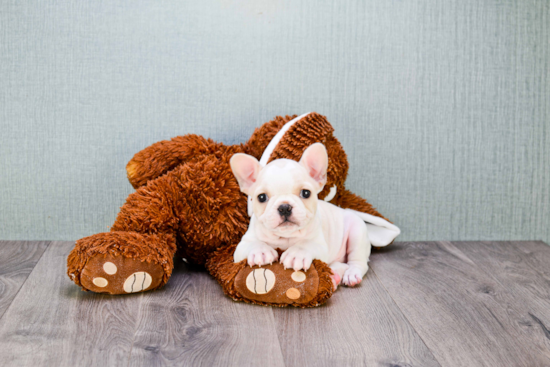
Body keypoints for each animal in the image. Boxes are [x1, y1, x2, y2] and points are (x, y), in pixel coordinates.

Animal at [231, 142, 374, 288]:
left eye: (306, 193)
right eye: (261, 197)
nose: (284, 207)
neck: (286, 236)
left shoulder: (321, 246)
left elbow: (306, 243)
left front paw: (297, 254)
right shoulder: (241, 246)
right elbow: (253, 243)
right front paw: (261, 250)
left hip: (357, 233)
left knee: (358, 262)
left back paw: (351, 274)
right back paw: (334, 275)